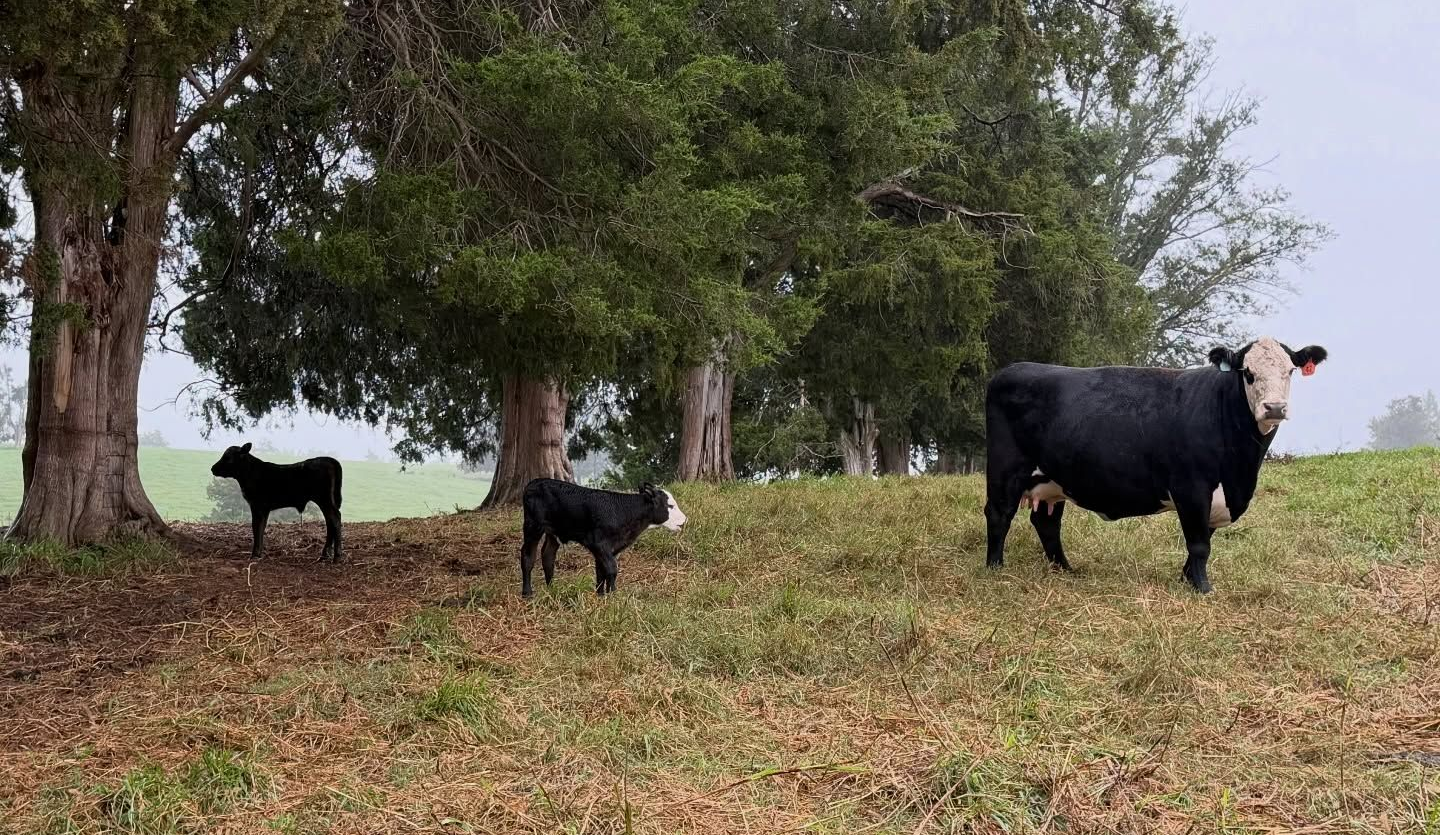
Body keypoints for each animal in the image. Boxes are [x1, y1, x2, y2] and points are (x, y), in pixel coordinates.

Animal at [210, 443, 345, 563]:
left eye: (227, 457)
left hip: (324, 499)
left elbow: (256, 527)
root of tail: (329, 460)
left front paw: (254, 555)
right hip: (328, 500)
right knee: (330, 521)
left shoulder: (257, 505)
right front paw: (259, 553)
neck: (250, 473)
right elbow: (261, 527)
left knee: (335, 518)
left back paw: (337, 557)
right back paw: (324, 555)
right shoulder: (264, 508)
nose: (212, 469)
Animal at [519, 479, 687, 597]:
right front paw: (613, 595)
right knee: (528, 556)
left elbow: (601, 571)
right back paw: (527, 593)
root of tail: (533, 483)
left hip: (552, 533)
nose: (685, 520)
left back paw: (552, 589)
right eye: (670, 506)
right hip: (533, 526)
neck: (625, 512)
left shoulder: (609, 548)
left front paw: (601, 595)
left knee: (548, 556)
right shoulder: (598, 543)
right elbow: (611, 569)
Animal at [983, 336, 1327, 592]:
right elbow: (1199, 544)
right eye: (1248, 372)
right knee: (999, 513)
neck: (1240, 469)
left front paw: (1187, 580)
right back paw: (995, 569)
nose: (1274, 407)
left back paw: (1065, 570)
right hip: (1006, 468)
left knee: (1047, 523)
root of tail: (1010, 370)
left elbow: (1203, 540)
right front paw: (1203, 589)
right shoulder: (1191, 488)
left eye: (1290, 372)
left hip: (1053, 479)